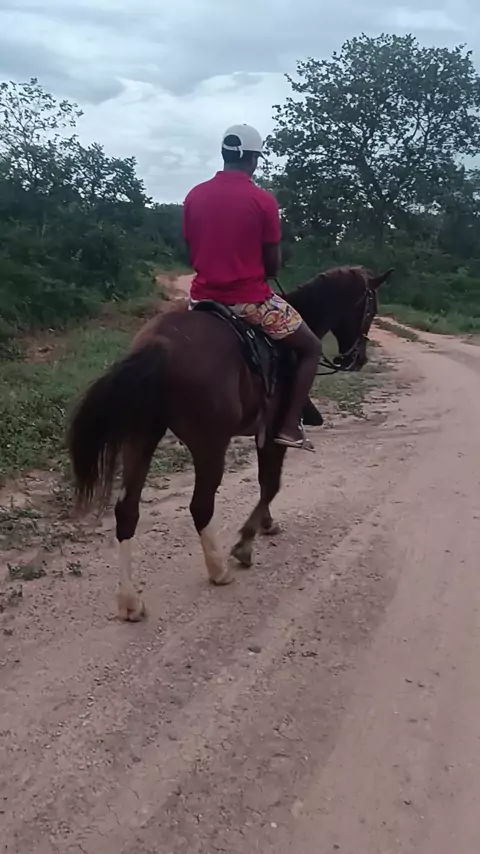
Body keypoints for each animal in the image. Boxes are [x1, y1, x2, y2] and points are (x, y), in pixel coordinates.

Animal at [67, 265, 393, 621]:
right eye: (370, 310)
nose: (357, 359)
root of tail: (159, 344)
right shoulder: (274, 434)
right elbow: (271, 484)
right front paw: (246, 542)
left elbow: (267, 484)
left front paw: (266, 524)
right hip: (209, 444)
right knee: (200, 505)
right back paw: (218, 569)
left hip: (141, 436)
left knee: (127, 510)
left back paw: (130, 601)